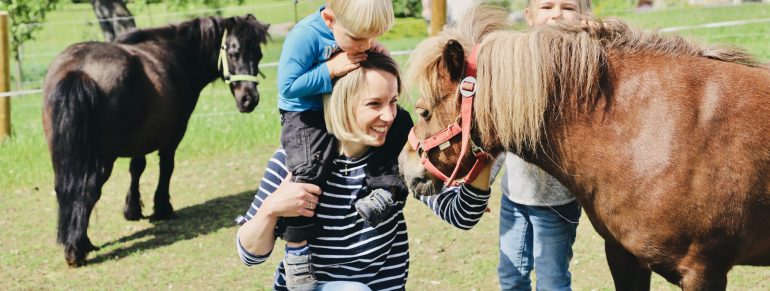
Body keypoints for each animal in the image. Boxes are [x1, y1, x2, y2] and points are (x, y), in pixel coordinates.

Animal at [42, 14, 270, 268]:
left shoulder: (140, 136)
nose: (249, 99)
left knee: (65, 189)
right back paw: (77, 248)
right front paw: (162, 208)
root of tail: (79, 72)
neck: (176, 54)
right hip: (102, 159)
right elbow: (166, 167)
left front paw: (132, 209)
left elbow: (136, 168)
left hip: (63, 156)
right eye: (233, 52)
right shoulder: (174, 133)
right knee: (88, 191)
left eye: (258, 55)